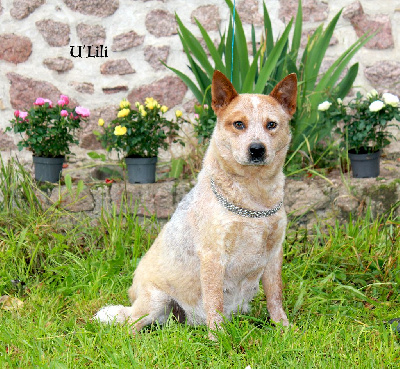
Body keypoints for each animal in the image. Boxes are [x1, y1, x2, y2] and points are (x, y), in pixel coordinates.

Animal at [94, 68, 296, 334]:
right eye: (239, 124)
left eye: (271, 124)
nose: (257, 149)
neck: (253, 203)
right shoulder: (213, 255)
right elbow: (214, 301)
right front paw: (218, 337)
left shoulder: (274, 254)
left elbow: (275, 296)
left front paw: (284, 329)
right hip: (155, 301)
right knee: (129, 326)